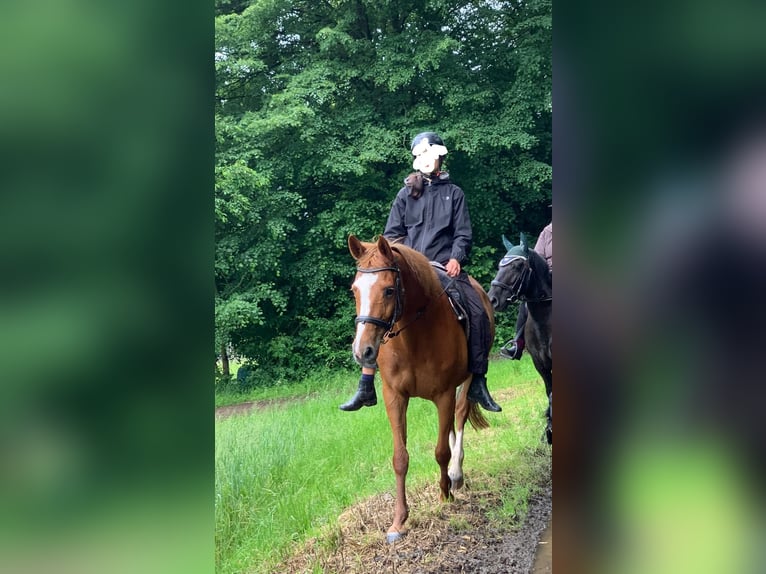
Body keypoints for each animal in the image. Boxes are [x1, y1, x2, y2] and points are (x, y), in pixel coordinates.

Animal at [347, 234, 492, 543]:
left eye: (389, 290)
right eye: (355, 290)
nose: (362, 351)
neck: (414, 335)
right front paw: (398, 521)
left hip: (467, 382)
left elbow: (441, 451)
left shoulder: (444, 394)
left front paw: (445, 494)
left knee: (460, 417)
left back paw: (456, 475)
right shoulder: (395, 397)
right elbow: (400, 458)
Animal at [487, 233, 552, 444]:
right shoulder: (540, 363)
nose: (492, 299)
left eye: (517, 266)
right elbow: (550, 392)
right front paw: (548, 431)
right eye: (500, 265)